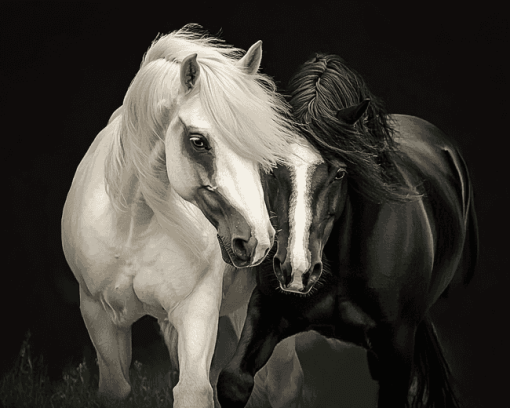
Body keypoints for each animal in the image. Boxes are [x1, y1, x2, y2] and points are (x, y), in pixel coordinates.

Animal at [63, 23, 302, 406]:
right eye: (197, 141)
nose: (258, 242)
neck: (133, 226)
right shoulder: (97, 313)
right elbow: (116, 388)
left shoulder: (195, 310)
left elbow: (192, 390)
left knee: (283, 384)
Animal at [216, 54, 478, 408]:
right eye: (271, 168)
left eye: (340, 172)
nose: (296, 270)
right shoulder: (268, 308)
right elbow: (234, 382)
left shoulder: (397, 348)